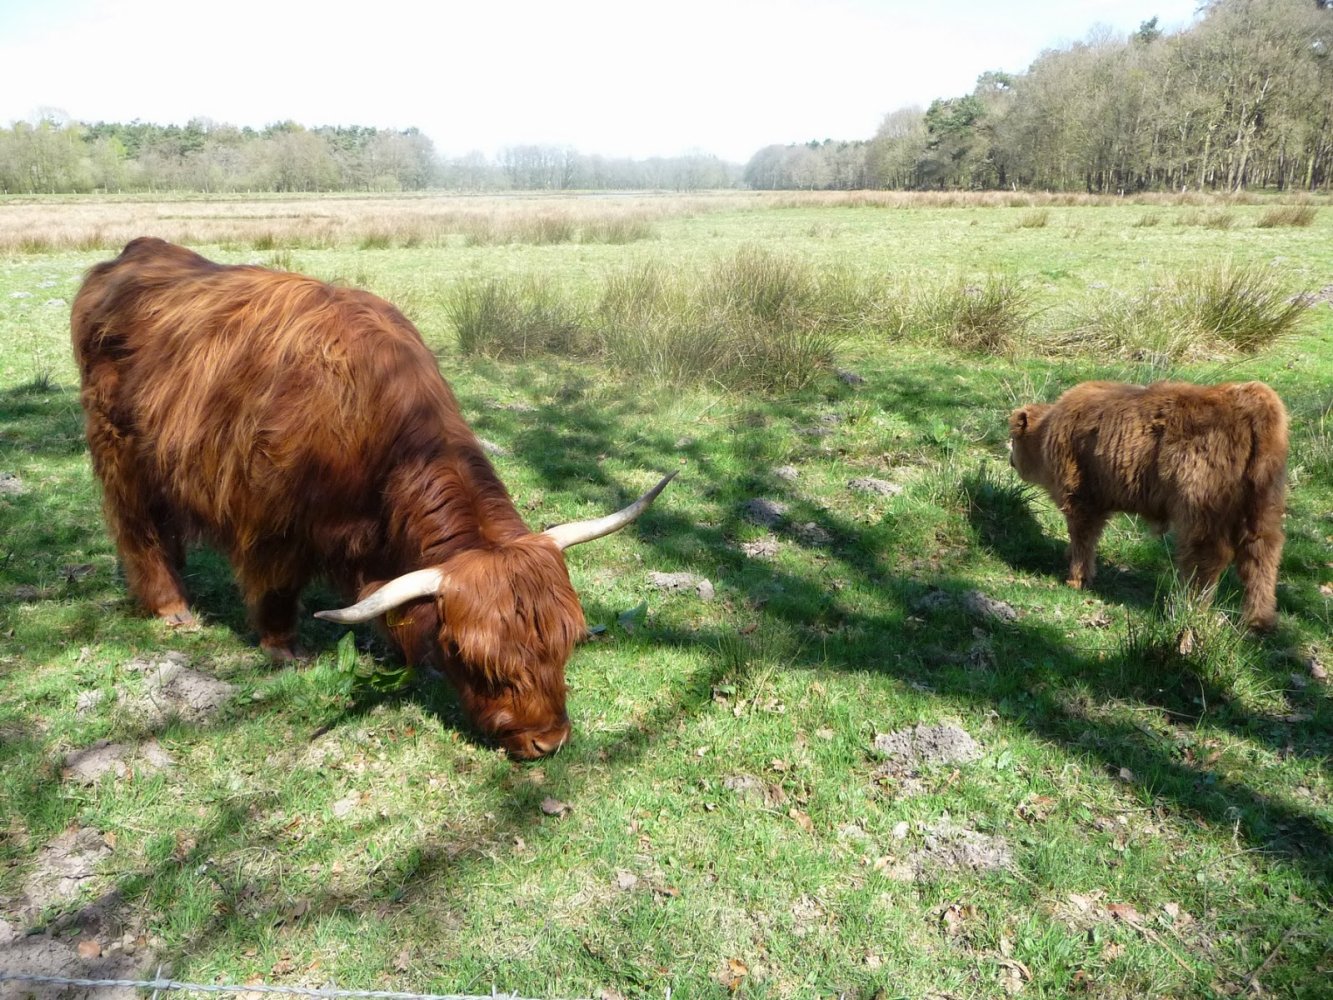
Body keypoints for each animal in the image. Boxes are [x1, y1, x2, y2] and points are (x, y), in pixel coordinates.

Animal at [71, 237, 674, 758]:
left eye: (564, 642)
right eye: (470, 656)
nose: (548, 742)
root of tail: (133, 254)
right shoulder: (270, 521)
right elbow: (276, 586)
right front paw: (283, 649)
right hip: (120, 452)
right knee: (138, 528)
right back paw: (172, 607)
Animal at [1007, 380, 1287, 630]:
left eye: (1014, 441)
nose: (1010, 459)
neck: (1047, 430)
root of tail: (1250, 398)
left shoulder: (1080, 498)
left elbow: (1083, 537)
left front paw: (1076, 578)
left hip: (1201, 508)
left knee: (1209, 556)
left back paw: (1189, 606)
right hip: (1264, 508)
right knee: (1262, 554)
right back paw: (1258, 620)